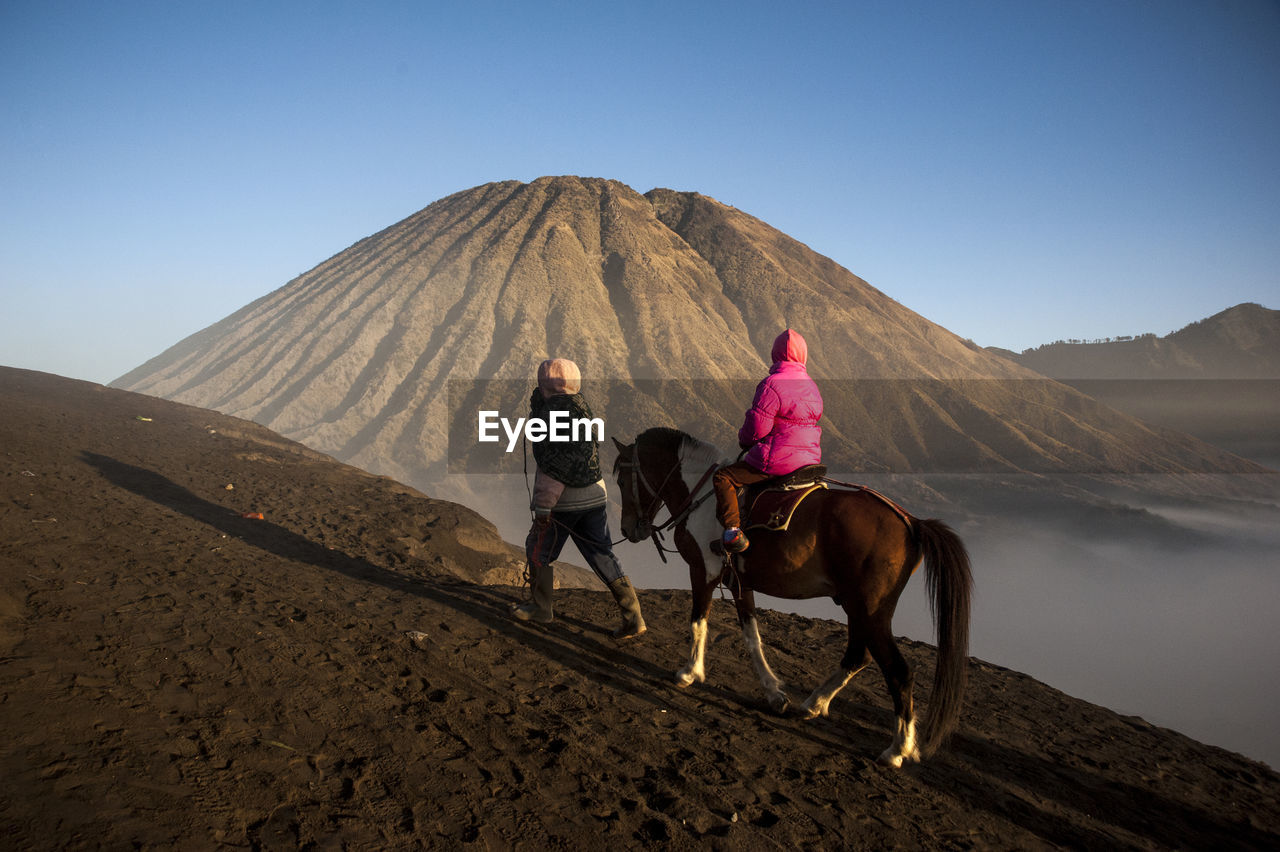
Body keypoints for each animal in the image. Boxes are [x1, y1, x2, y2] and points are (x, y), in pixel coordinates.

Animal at [609, 424, 967, 762]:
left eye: (623, 481)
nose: (627, 529)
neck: (703, 498)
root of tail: (910, 522)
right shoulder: (739, 582)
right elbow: (752, 636)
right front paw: (774, 694)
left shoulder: (703, 571)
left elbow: (698, 622)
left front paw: (690, 673)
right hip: (858, 608)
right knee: (858, 655)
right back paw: (813, 704)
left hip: (871, 611)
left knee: (898, 672)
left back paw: (897, 749)